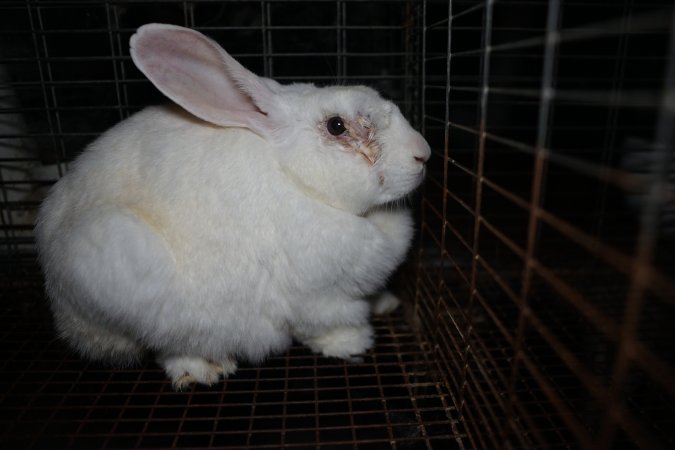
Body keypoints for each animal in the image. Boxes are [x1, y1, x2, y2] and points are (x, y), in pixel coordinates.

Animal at [34, 22, 430, 388]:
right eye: (336, 126)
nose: (422, 154)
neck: (296, 178)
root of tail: (63, 312)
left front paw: (385, 302)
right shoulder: (320, 298)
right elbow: (327, 325)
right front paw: (353, 344)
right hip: (126, 271)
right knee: (168, 346)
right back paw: (205, 370)